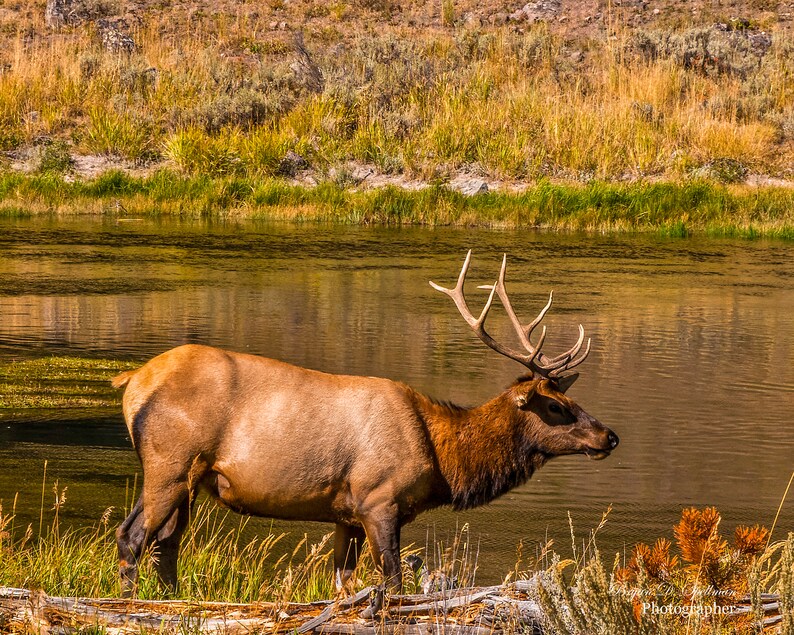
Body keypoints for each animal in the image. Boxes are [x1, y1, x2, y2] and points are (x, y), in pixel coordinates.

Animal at [113, 251, 620, 604]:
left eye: (570, 398)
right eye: (555, 406)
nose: (610, 436)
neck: (441, 458)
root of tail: (132, 380)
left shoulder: (346, 515)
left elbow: (342, 584)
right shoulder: (379, 500)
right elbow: (393, 582)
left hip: (191, 480)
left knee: (166, 545)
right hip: (170, 464)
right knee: (132, 536)